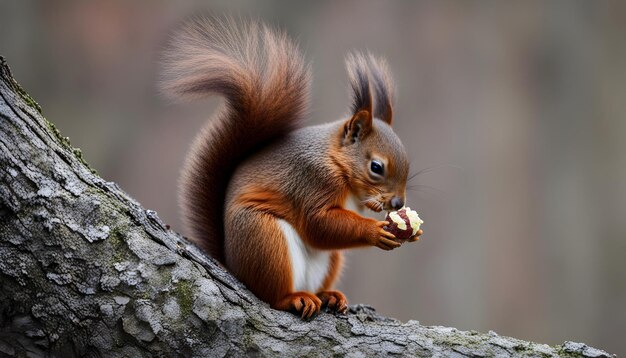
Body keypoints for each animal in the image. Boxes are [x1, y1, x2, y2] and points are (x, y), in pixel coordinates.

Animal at [161, 16, 422, 318]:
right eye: (376, 167)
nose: (398, 203)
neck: (338, 165)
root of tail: (233, 264)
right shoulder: (312, 180)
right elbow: (317, 223)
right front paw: (375, 231)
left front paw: (413, 232)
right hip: (264, 238)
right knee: (271, 294)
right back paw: (293, 299)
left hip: (331, 259)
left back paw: (329, 296)